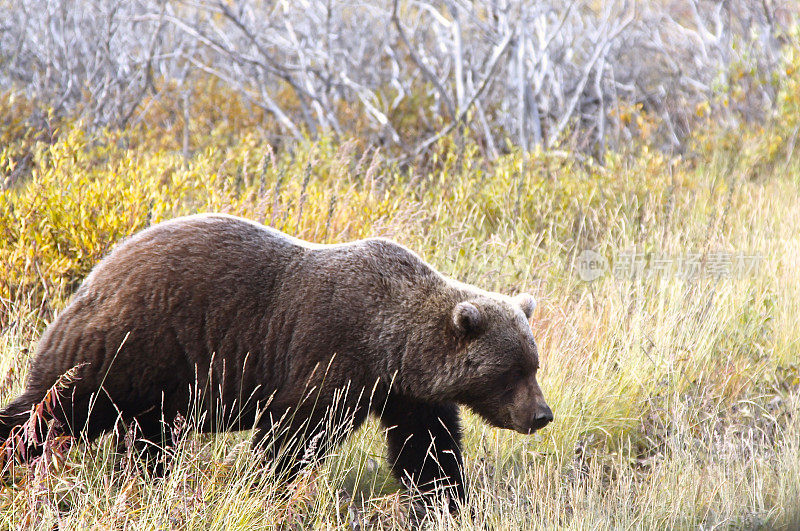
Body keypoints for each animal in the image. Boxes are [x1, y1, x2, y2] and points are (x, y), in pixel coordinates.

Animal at [0, 214, 552, 510]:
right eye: (512, 371)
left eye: (533, 364)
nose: (542, 415)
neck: (389, 344)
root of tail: (97, 272)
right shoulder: (330, 353)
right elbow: (291, 435)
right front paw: (268, 485)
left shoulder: (404, 393)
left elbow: (427, 452)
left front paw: (446, 500)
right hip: (133, 343)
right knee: (54, 408)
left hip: (155, 384)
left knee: (145, 439)